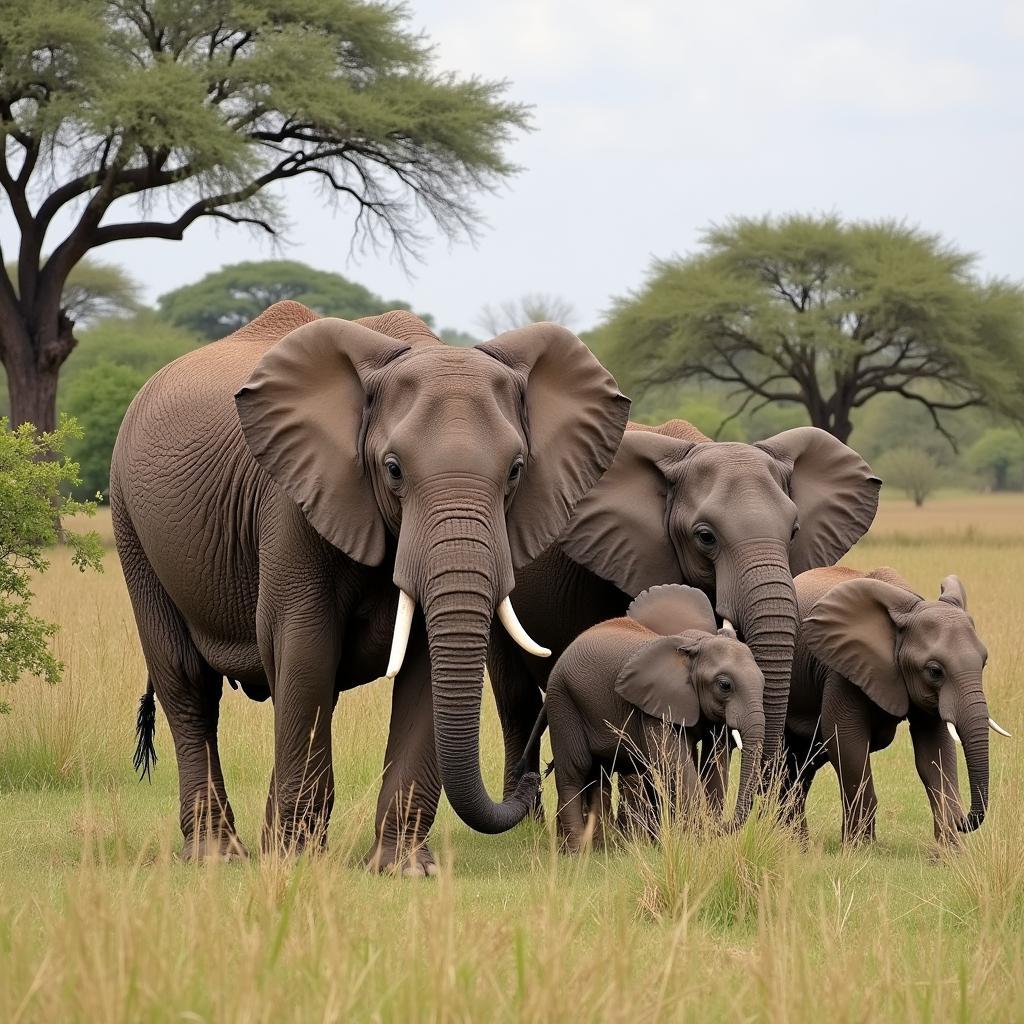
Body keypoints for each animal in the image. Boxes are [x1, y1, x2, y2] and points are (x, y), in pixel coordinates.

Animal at [108, 299, 626, 872]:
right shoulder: (296, 500)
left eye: (515, 471)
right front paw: (293, 862)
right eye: (393, 470)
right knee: (189, 686)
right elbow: (306, 651)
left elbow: (422, 668)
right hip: (131, 523)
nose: (533, 779)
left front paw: (404, 869)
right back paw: (216, 855)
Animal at [540, 585, 765, 847]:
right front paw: (696, 839)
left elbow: (715, 763)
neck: (694, 645)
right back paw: (578, 850)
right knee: (575, 771)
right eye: (725, 685)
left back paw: (600, 847)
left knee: (597, 772)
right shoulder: (653, 707)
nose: (721, 826)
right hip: (562, 701)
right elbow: (676, 764)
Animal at [782, 565, 1007, 843]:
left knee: (800, 766)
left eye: (984, 663)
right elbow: (847, 744)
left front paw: (950, 852)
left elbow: (935, 752)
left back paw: (795, 843)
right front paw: (860, 849)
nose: (963, 820)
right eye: (934, 671)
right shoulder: (841, 670)